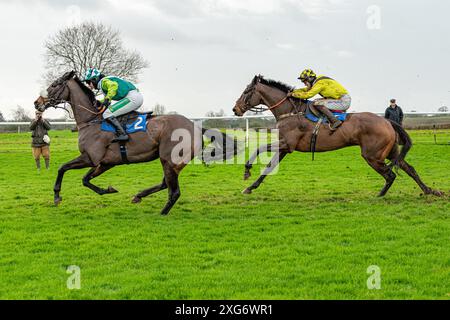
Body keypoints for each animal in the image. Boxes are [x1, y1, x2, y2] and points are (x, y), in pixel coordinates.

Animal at [33, 70, 237, 215]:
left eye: (54, 84)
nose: (37, 103)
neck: (91, 120)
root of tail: (194, 126)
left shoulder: (90, 158)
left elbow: (62, 168)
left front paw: (57, 196)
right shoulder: (104, 162)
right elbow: (85, 180)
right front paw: (109, 189)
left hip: (170, 159)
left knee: (174, 191)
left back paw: (162, 213)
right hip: (171, 162)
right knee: (165, 184)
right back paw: (138, 196)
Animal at [232, 74, 442, 198]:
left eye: (246, 92)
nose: (235, 109)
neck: (290, 111)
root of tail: (387, 121)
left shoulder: (286, 144)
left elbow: (259, 149)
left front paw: (247, 171)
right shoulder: (285, 147)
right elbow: (269, 167)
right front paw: (250, 187)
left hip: (372, 155)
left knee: (390, 174)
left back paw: (380, 195)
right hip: (390, 152)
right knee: (409, 168)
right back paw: (429, 190)